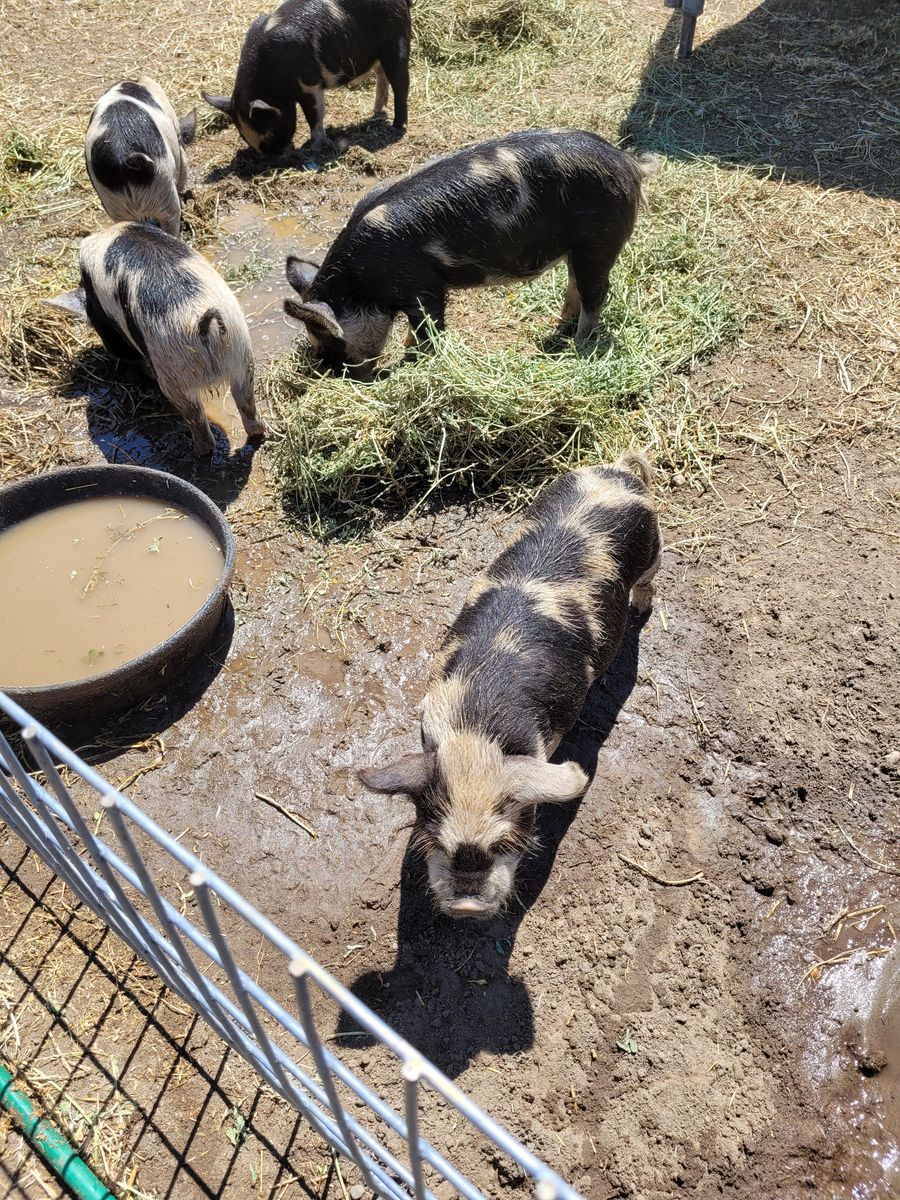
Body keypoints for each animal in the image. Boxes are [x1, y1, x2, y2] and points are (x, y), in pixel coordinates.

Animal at [47, 223, 265, 456]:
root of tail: (201, 323)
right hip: (240, 352)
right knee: (246, 402)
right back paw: (257, 432)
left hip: (173, 369)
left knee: (195, 416)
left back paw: (197, 451)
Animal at [202, 0, 411, 155]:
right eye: (243, 136)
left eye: (268, 132)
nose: (270, 160)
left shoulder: (310, 85)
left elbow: (314, 115)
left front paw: (313, 148)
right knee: (381, 74)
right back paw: (376, 111)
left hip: (397, 43)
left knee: (401, 85)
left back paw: (396, 127)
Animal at [283, 128, 657, 369]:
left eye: (328, 340)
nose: (331, 373)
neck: (359, 283)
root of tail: (626, 162)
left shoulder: (420, 285)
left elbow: (429, 326)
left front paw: (415, 362)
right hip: (581, 248)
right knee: (575, 286)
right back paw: (558, 332)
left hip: (598, 240)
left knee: (597, 292)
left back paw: (578, 347)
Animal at [359, 454, 662, 920]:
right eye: (435, 839)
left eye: (504, 843)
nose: (466, 906)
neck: (476, 727)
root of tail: (615, 472)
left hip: (652, 546)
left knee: (649, 579)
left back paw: (643, 608)